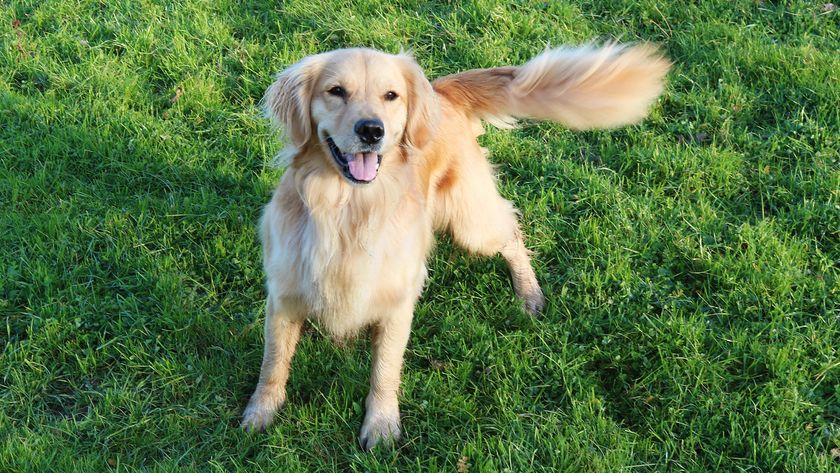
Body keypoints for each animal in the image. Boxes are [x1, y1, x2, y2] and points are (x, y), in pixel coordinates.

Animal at [241, 42, 668, 448]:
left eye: (391, 95)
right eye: (336, 91)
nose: (372, 131)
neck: (348, 211)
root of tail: (442, 91)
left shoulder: (397, 303)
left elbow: (385, 370)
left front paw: (381, 425)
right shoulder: (283, 297)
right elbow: (273, 362)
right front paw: (260, 412)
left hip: (470, 223)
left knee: (511, 230)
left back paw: (528, 293)